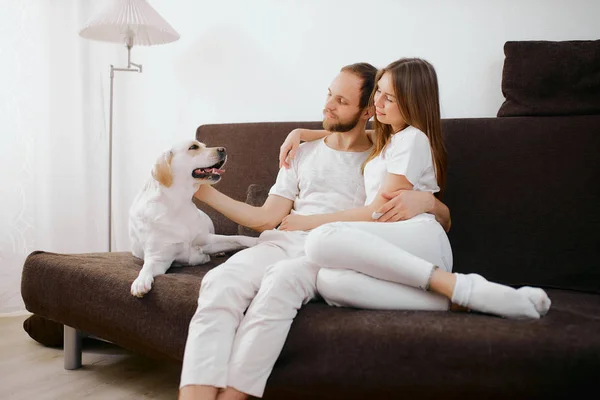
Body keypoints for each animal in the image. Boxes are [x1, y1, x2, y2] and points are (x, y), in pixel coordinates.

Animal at [129, 139, 258, 296]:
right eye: (193, 147)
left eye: (204, 145)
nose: (223, 149)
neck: (179, 204)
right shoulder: (158, 258)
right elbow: (146, 268)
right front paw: (140, 282)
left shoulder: (207, 241)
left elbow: (238, 238)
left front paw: (258, 240)